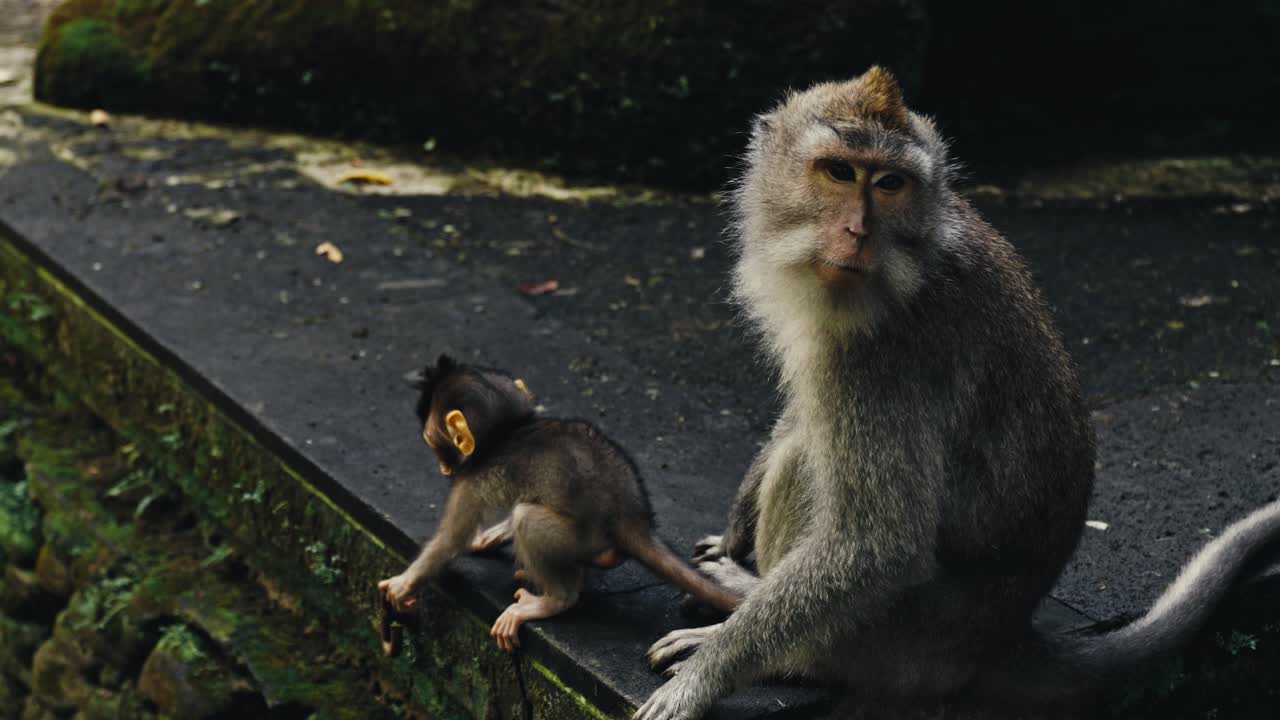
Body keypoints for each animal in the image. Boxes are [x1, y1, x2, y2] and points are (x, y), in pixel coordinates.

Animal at [378, 355, 742, 652]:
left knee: (527, 518)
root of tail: (633, 517)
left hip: (579, 538)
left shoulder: (470, 481)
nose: (443, 467)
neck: (508, 430)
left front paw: (402, 584)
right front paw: (493, 535)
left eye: (432, 442)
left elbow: (450, 540)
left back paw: (554, 600)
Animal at [634, 66, 1280, 720]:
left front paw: (703, 678)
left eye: (890, 183)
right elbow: (803, 418)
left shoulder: (883, 355)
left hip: (895, 640)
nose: (858, 231)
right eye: (839, 171)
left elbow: (876, 543)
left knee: (812, 476)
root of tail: (1001, 638)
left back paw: (781, 647)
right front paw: (735, 528)